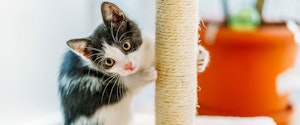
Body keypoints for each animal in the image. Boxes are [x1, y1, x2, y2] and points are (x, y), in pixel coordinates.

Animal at [58, 1, 209, 125]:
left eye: (126, 45)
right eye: (109, 62)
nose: (128, 66)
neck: (142, 61)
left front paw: (199, 59)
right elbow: (127, 84)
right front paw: (145, 76)